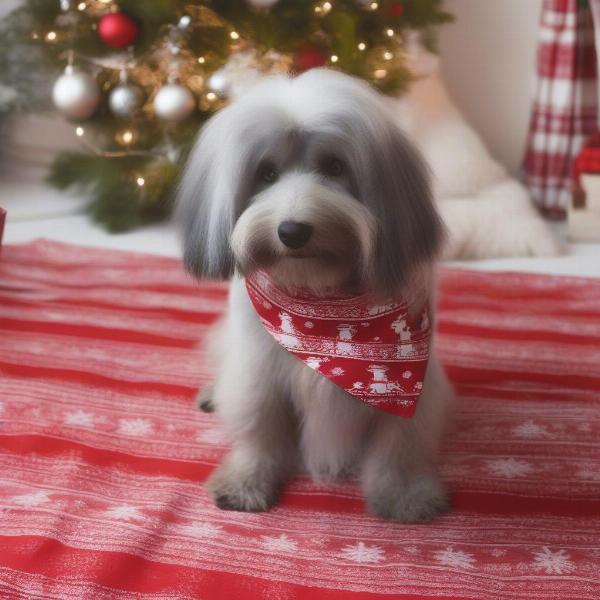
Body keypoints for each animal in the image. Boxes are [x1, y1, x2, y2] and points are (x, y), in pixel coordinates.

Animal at [176, 68, 452, 524]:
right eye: (266, 172)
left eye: (335, 165)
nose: (292, 230)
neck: (321, 301)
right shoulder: (259, 374)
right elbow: (259, 429)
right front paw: (245, 482)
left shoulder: (410, 391)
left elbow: (399, 443)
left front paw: (404, 495)